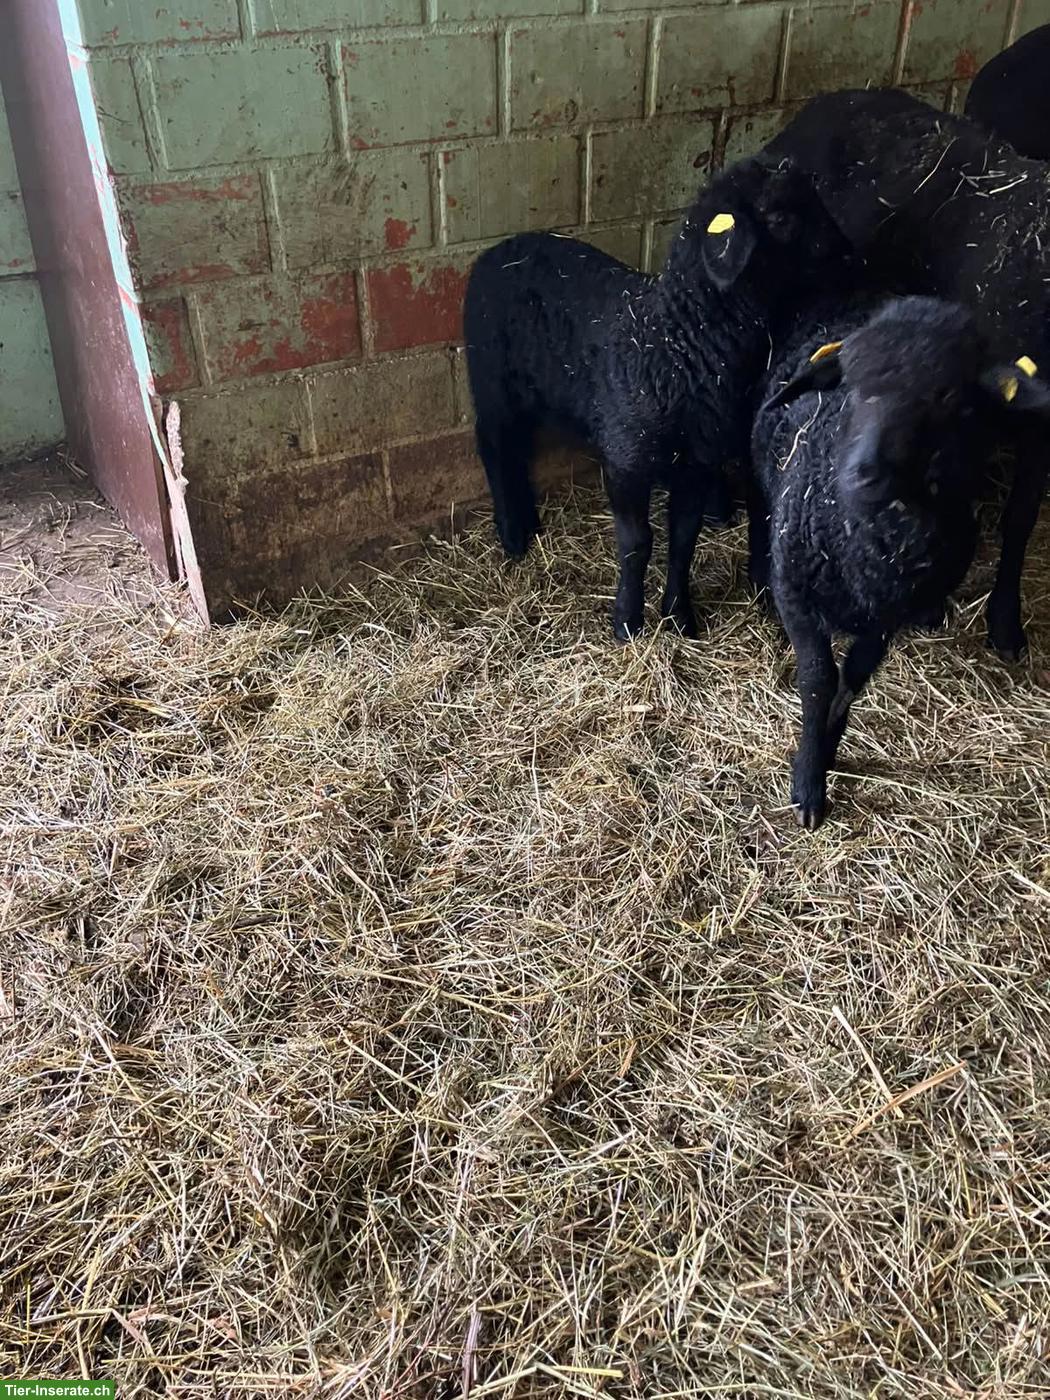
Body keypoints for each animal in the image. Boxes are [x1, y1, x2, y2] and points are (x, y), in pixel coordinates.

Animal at [463, 155, 855, 641]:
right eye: (781, 218)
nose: (852, 257)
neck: (676, 342)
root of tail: (498, 249)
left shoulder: (696, 466)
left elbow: (683, 539)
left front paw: (679, 616)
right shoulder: (625, 463)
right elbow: (638, 543)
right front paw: (628, 622)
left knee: (518, 447)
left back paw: (528, 520)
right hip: (490, 377)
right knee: (494, 444)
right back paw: (513, 533)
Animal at [750, 294, 1050, 829]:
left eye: (947, 395)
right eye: (848, 380)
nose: (863, 473)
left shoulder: (886, 616)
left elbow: (853, 678)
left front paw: (829, 745)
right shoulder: (796, 594)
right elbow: (818, 680)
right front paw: (807, 781)